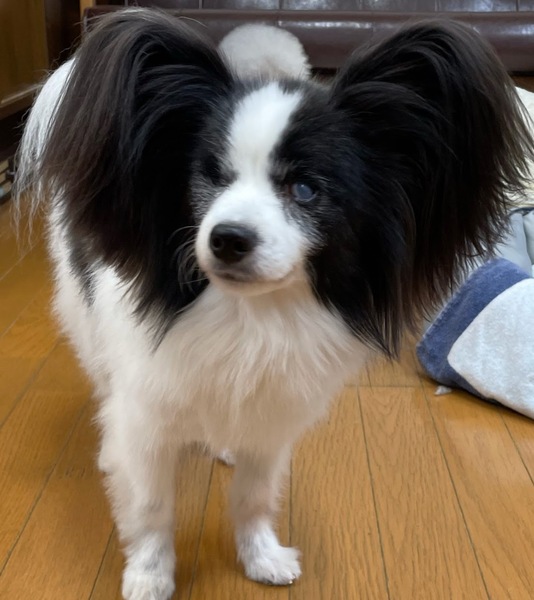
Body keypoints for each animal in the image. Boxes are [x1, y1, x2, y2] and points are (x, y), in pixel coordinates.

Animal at [15, 9, 532, 600]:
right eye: (211, 177)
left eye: (305, 189)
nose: (227, 238)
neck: (252, 316)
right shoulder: (148, 404)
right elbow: (150, 504)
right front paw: (149, 575)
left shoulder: (273, 415)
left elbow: (255, 495)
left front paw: (260, 556)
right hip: (87, 319)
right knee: (102, 379)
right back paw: (107, 447)